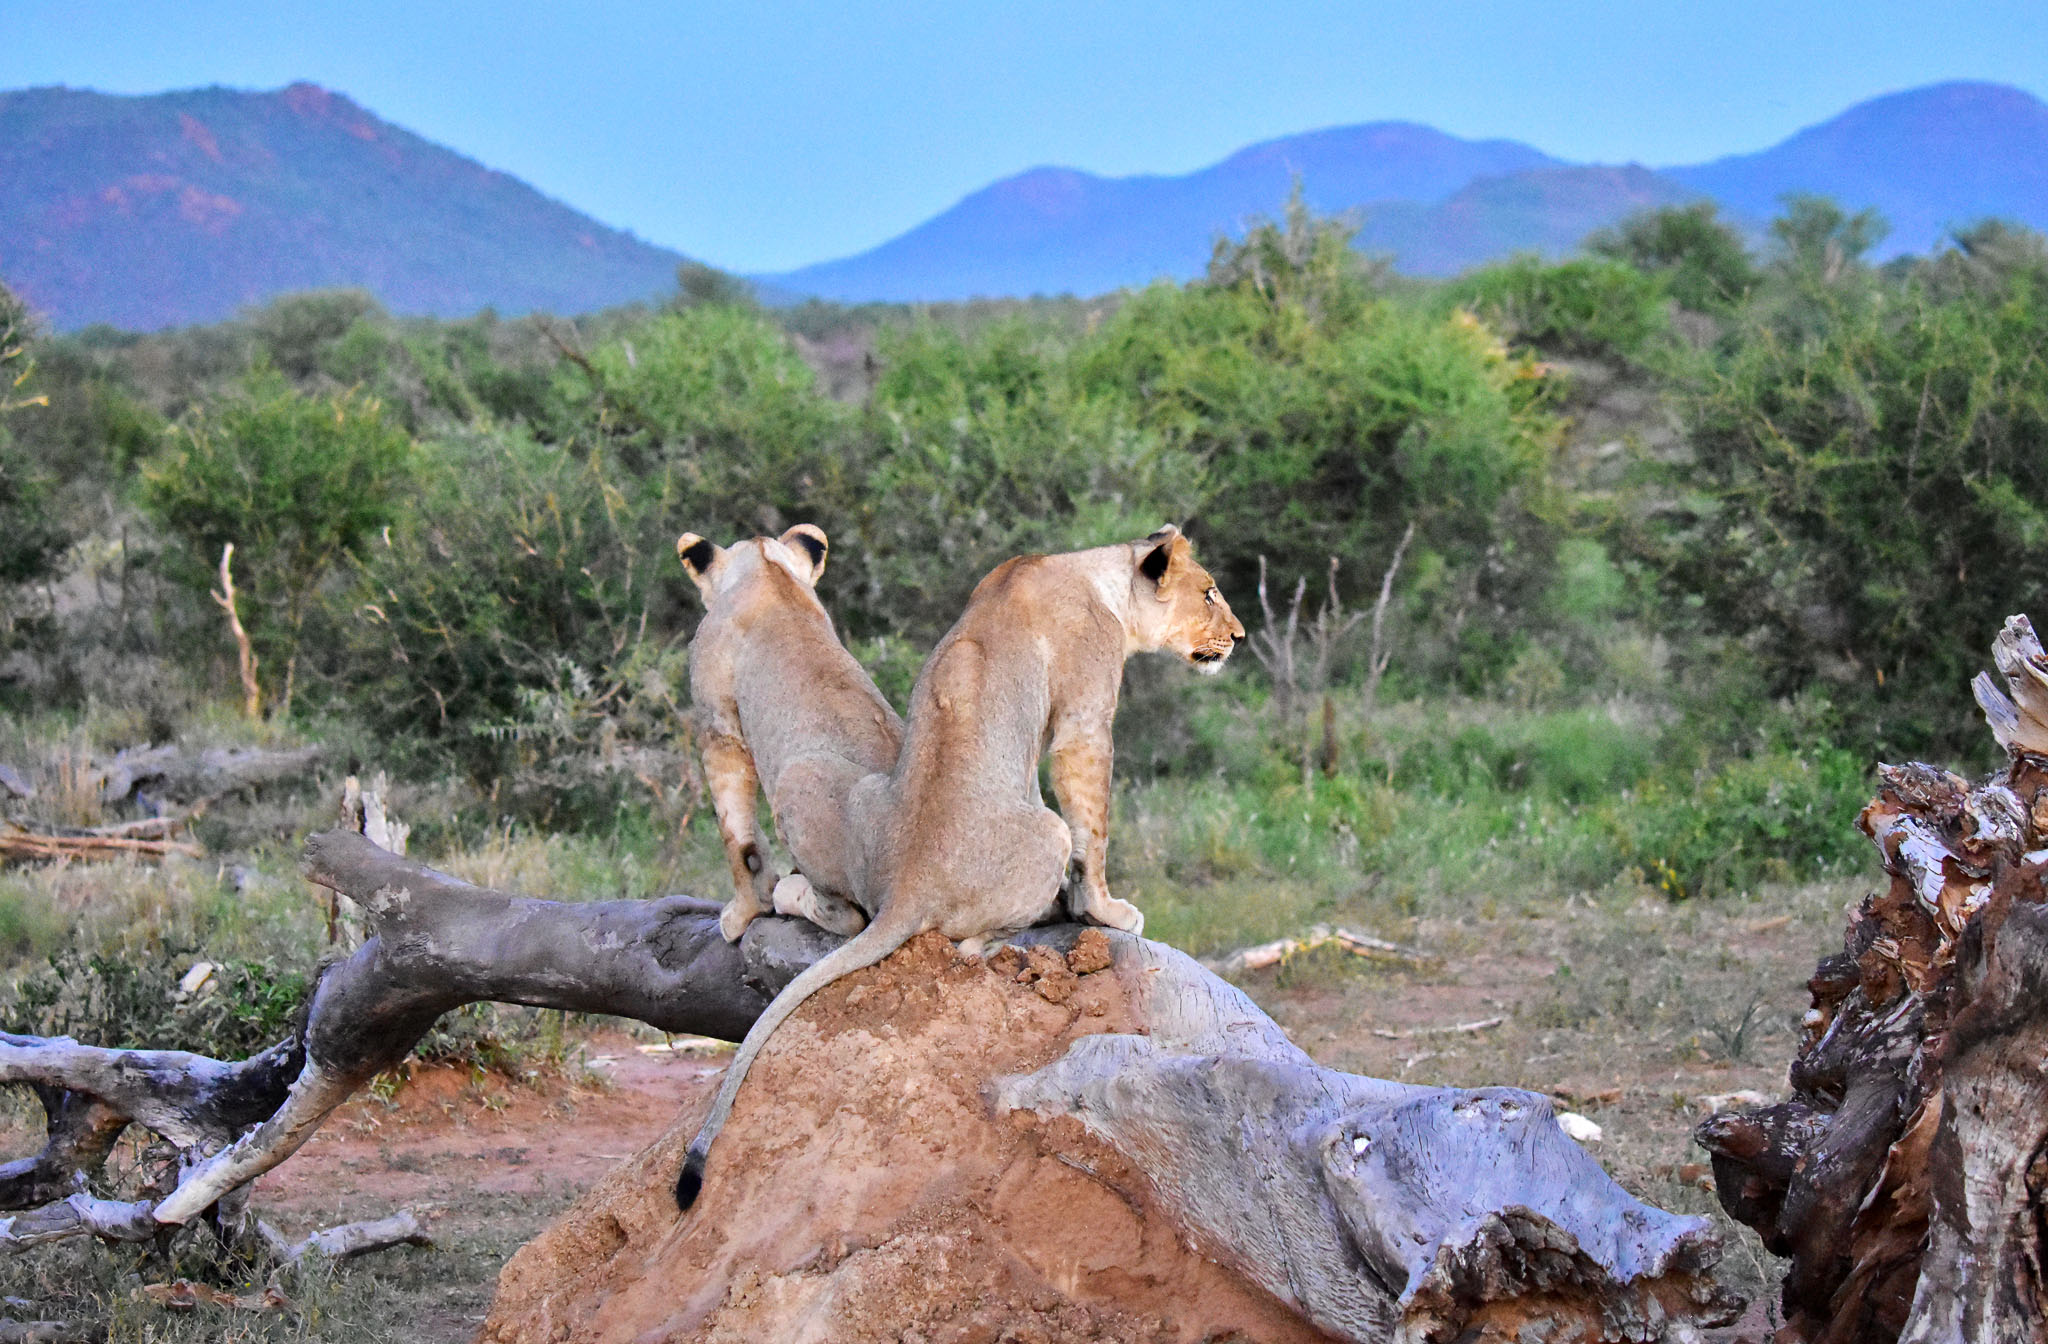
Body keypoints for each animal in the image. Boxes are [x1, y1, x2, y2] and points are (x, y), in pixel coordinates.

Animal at [676, 524, 903, 941]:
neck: (769, 574)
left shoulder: (721, 730)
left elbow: (737, 835)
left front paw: (743, 915)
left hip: (796, 777)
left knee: (849, 917)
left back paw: (788, 893)